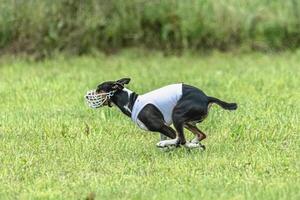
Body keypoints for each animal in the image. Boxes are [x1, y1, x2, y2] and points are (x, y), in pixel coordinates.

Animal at [85, 77, 238, 148]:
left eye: (99, 89)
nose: (87, 96)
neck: (132, 103)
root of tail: (206, 98)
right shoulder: (163, 130)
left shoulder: (165, 128)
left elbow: (176, 140)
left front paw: (165, 145)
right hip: (187, 122)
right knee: (200, 135)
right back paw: (194, 143)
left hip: (177, 115)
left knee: (182, 140)